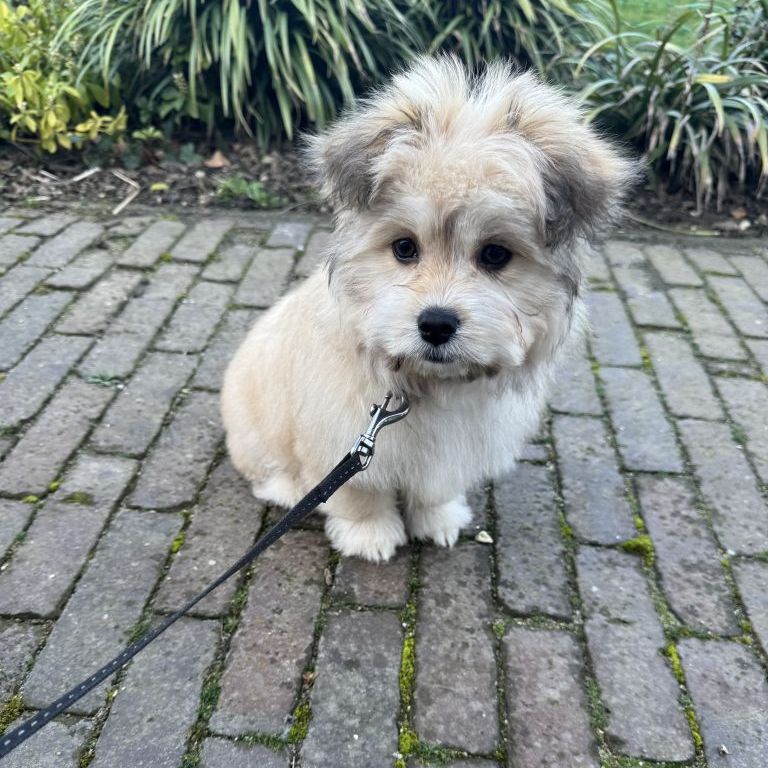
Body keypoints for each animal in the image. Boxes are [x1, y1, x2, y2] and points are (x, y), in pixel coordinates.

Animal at [221, 56, 636, 561]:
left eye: (495, 255)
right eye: (404, 248)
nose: (436, 324)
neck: (429, 385)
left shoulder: (449, 450)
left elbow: (435, 488)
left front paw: (438, 519)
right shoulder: (338, 439)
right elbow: (357, 494)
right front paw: (369, 534)